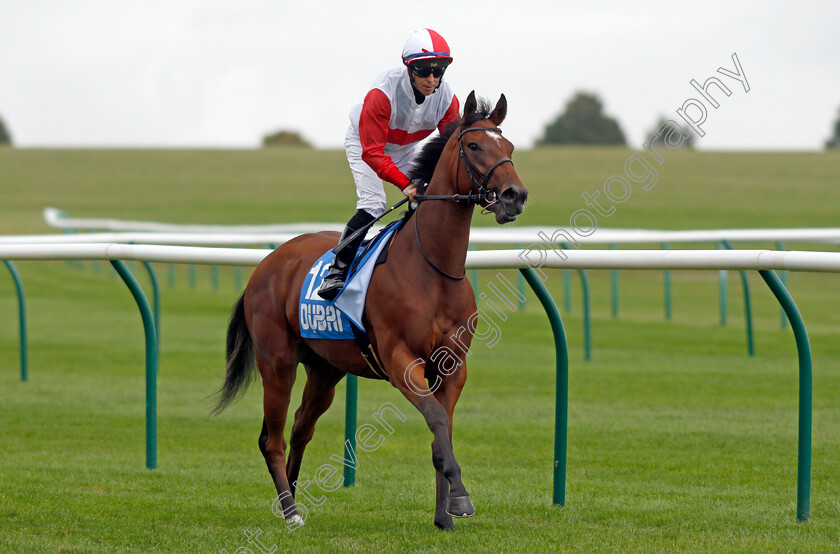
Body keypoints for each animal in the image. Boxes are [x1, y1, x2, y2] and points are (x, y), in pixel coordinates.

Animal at [213, 91, 528, 532]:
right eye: (473, 145)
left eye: (510, 147)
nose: (515, 195)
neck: (432, 267)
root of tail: (267, 264)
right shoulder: (400, 361)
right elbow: (436, 419)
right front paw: (461, 500)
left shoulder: (452, 367)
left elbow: (441, 433)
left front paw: (444, 515)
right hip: (277, 362)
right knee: (271, 438)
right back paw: (291, 513)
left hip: (325, 370)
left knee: (300, 427)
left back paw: (290, 496)